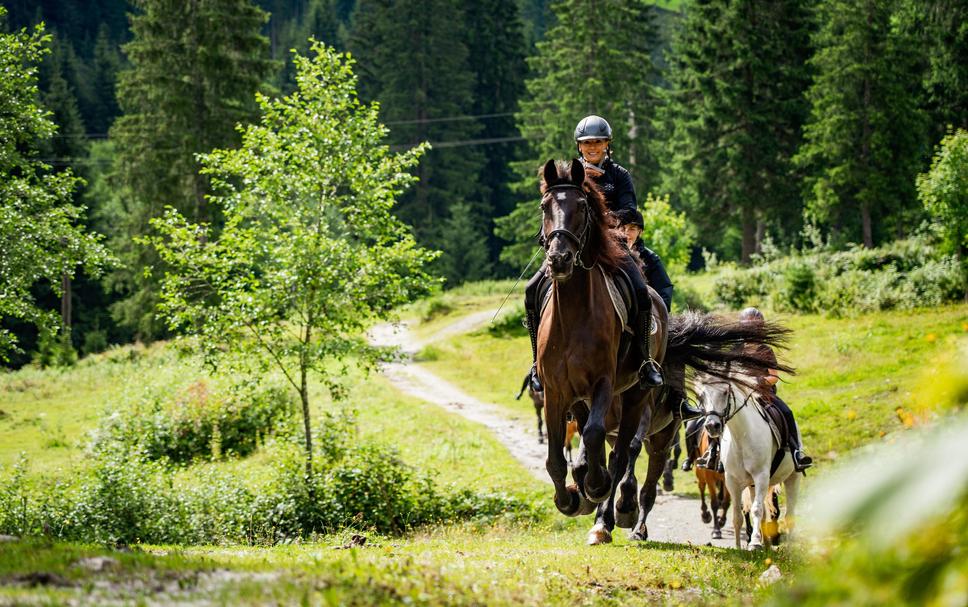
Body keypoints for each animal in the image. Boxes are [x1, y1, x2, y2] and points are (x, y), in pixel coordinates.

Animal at [696, 372, 800, 552]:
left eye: (725, 392)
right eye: (701, 395)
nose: (712, 426)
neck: (741, 436)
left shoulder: (761, 476)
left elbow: (756, 510)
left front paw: (755, 543)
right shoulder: (732, 480)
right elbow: (738, 515)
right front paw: (739, 547)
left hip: (792, 477)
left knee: (789, 513)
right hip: (751, 485)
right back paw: (767, 545)